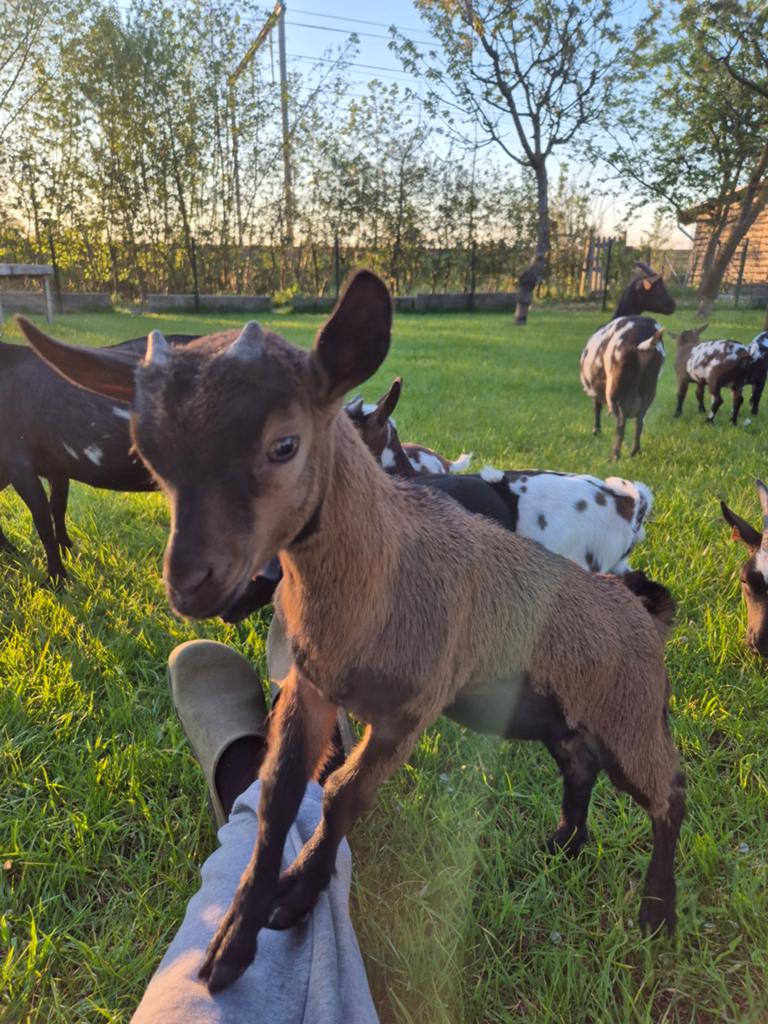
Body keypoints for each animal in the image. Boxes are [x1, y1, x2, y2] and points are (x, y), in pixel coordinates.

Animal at [0, 329, 197, 583]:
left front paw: (56, 578)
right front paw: (65, 549)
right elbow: (57, 508)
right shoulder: (55, 468)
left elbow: (43, 521)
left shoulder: (19, 467)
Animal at [580, 263, 676, 459]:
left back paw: (614, 455)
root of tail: (643, 342)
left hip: (615, 388)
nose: (673, 305)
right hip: (649, 388)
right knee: (640, 419)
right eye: (658, 289)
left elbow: (596, 407)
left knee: (621, 420)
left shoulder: (595, 388)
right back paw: (634, 451)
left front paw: (596, 430)